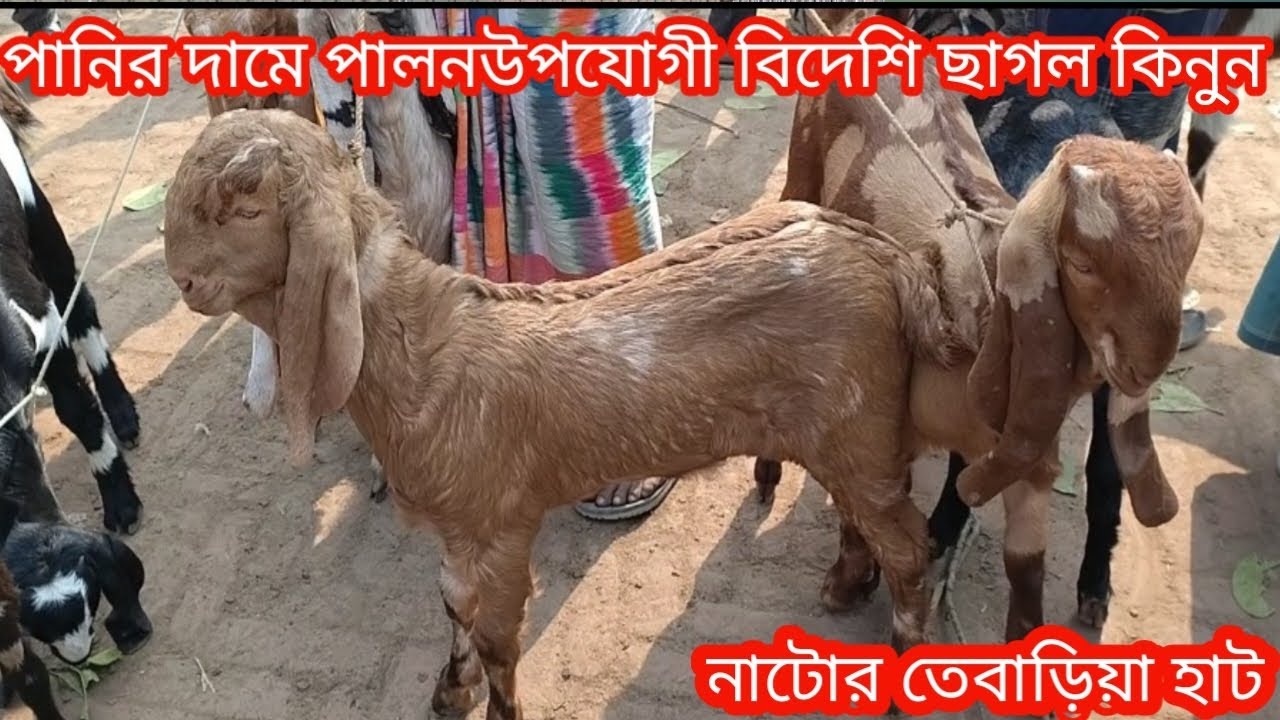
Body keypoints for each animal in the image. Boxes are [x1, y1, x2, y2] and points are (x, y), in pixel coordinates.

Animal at [0, 77, 142, 534]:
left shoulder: (43, 326)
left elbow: (78, 413)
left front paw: (122, 505)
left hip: (40, 221)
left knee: (80, 305)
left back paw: (124, 415)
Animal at [162, 107, 994, 720]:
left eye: (243, 205)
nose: (183, 280)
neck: (421, 345)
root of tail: (892, 260)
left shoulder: (498, 524)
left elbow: (497, 639)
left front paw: (487, 699)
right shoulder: (459, 529)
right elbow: (453, 607)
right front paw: (449, 689)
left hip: (855, 427)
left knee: (911, 547)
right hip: (853, 434)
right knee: (873, 521)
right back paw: (846, 583)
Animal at [759, 36, 1199, 644]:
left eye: (1187, 258)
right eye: (1082, 263)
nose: (1147, 365)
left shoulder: (1026, 459)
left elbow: (1026, 568)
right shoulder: (871, 420)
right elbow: (867, 510)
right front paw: (847, 584)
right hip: (800, 165)